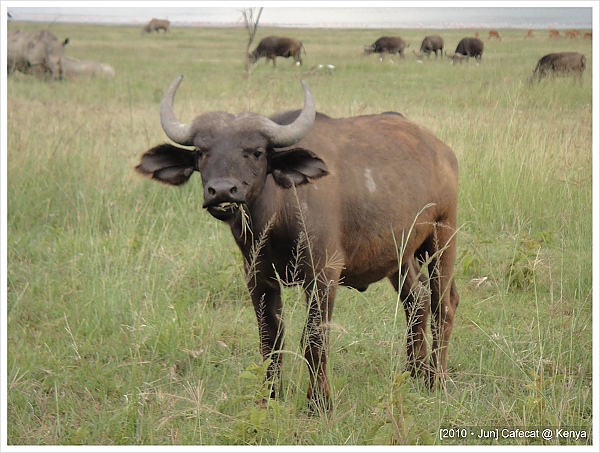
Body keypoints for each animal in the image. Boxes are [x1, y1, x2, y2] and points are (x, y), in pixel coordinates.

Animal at [136, 75, 462, 410]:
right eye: (202, 151)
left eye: (256, 152)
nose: (223, 191)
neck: (277, 215)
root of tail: (440, 150)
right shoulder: (258, 279)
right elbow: (270, 339)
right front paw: (269, 397)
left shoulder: (322, 276)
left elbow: (314, 339)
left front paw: (319, 402)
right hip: (400, 255)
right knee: (417, 301)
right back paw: (416, 374)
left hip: (443, 237)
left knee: (444, 305)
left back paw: (437, 379)